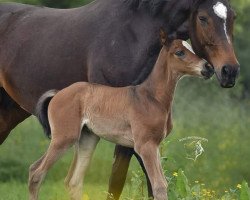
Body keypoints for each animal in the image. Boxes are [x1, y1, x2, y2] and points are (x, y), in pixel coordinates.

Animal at [29, 32, 213, 200]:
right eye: (179, 52)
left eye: (191, 48)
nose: (208, 68)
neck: (152, 97)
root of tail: (58, 94)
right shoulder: (145, 145)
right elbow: (159, 185)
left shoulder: (155, 145)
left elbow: (162, 184)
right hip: (64, 138)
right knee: (36, 172)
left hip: (87, 139)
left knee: (73, 181)